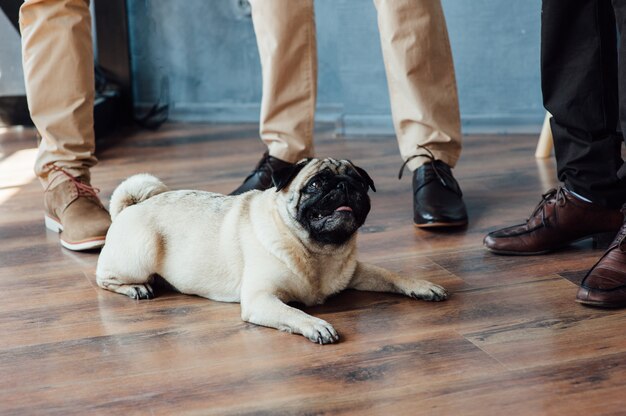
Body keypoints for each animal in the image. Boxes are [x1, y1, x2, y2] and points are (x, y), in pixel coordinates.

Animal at [95, 158, 446, 342]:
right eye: (316, 185)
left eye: (359, 184)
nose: (344, 186)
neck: (318, 251)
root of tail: (131, 207)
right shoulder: (261, 299)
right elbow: (294, 312)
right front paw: (316, 325)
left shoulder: (355, 272)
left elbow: (390, 274)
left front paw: (422, 286)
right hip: (139, 255)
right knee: (104, 279)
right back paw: (137, 288)